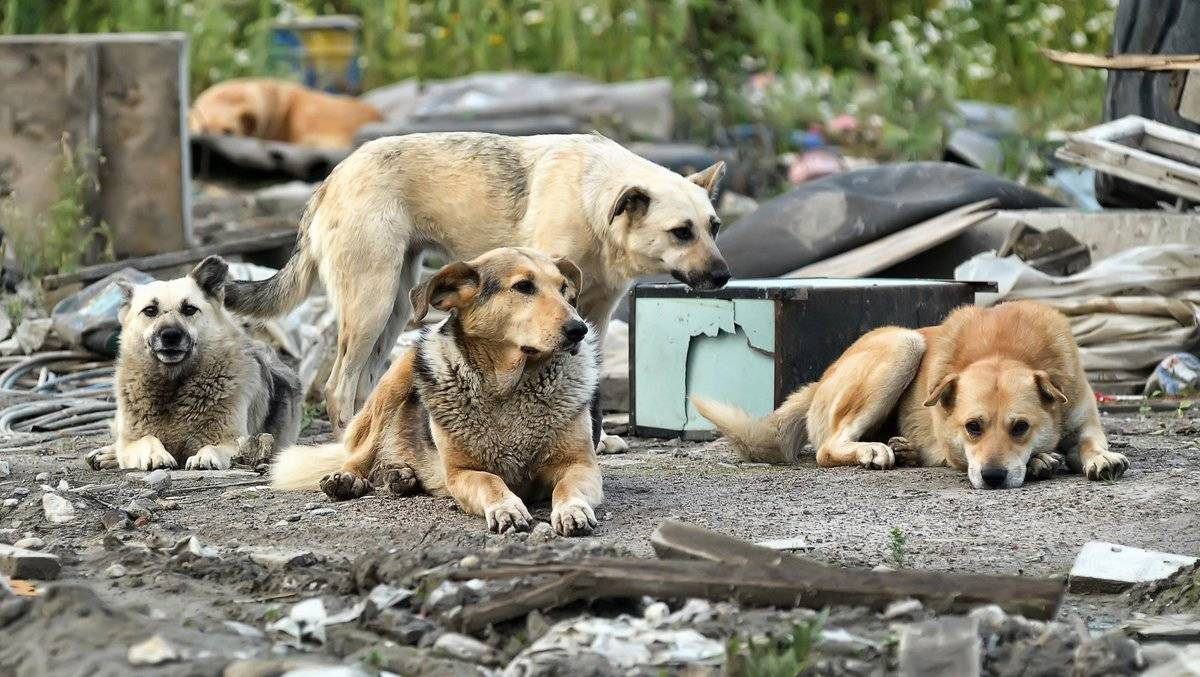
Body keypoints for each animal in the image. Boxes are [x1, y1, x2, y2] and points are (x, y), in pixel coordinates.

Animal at [87, 256, 302, 472]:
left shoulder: (234, 441)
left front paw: (204, 457)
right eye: (150, 310)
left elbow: (212, 446)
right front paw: (156, 455)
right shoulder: (132, 441)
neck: (174, 384)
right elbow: (147, 439)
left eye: (189, 309)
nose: (170, 336)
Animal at [224, 132, 729, 451]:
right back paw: (348, 439)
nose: (724, 276)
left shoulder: (595, 317)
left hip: (394, 308)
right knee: (337, 385)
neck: (595, 203)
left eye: (715, 227)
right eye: (681, 232)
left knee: (366, 383)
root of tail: (332, 178)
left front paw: (598, 439)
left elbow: (593, 385)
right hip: (371, 303)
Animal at [270, 247, 600, 535]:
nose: (579, 329)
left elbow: (567, 487)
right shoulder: (461, 473)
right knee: (361, 452)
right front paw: (506, 507)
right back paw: (350, 477)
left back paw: (401, 475)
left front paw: (572, 510)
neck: (508, 388)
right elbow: (490, 482)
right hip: (400, 373)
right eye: (523, 286)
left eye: (564, 289)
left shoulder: (580, 465)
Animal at [691, 300, 1128, 487]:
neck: (1006, 350)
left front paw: (1098, 457)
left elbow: (1089, 440)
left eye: (1020, 427)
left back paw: (905, 449)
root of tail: (822, 379)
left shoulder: (1081, 415)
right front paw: (1040, 461)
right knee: (827, 447)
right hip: (903, 344)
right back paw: (873, 450)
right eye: (972, 427)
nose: (992, 477)